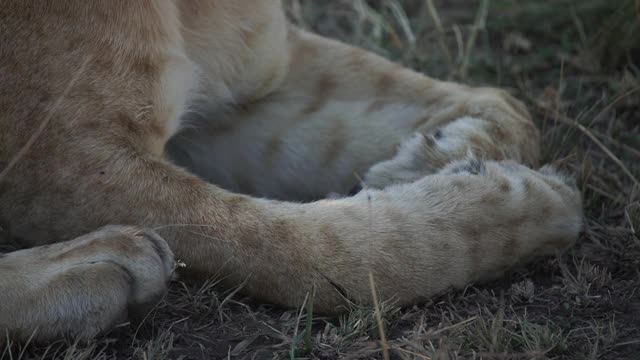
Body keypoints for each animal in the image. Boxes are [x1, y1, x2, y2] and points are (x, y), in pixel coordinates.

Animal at [0, 0, 580, 342]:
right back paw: (100, 266)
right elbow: (321, 251)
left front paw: (429, 159)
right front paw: (528, 206)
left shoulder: (260, 83)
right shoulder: (60, 164)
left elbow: (504, 103)